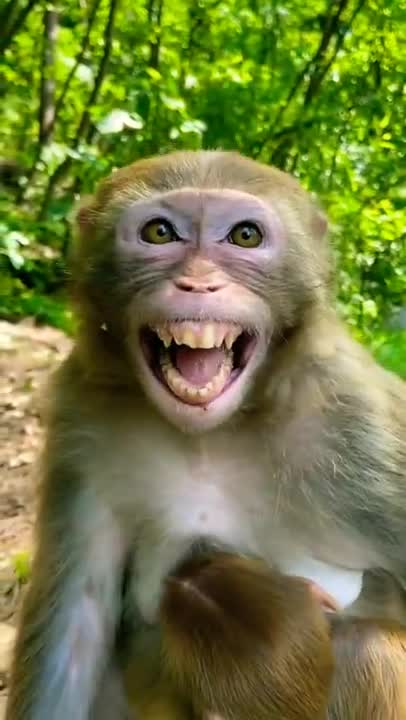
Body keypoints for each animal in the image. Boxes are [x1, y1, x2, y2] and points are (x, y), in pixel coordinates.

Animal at [5, 150, 406, 719]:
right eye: (159, 232)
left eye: (244, 236)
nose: (198, 284)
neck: (209, 437)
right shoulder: (81, 424)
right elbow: (75, 636)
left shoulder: (362, 428)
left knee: (367, 646)